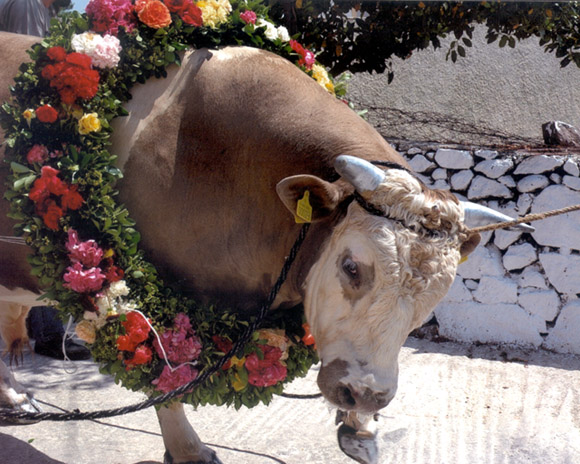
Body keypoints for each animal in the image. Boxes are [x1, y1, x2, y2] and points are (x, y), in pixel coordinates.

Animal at [0, 32, 524, 464]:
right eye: (352, 267)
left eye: (435, 298)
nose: (367, 395)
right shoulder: (141, 296)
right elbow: (163, 377)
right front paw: (188, 451)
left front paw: (359, 430)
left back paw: (14, 398)